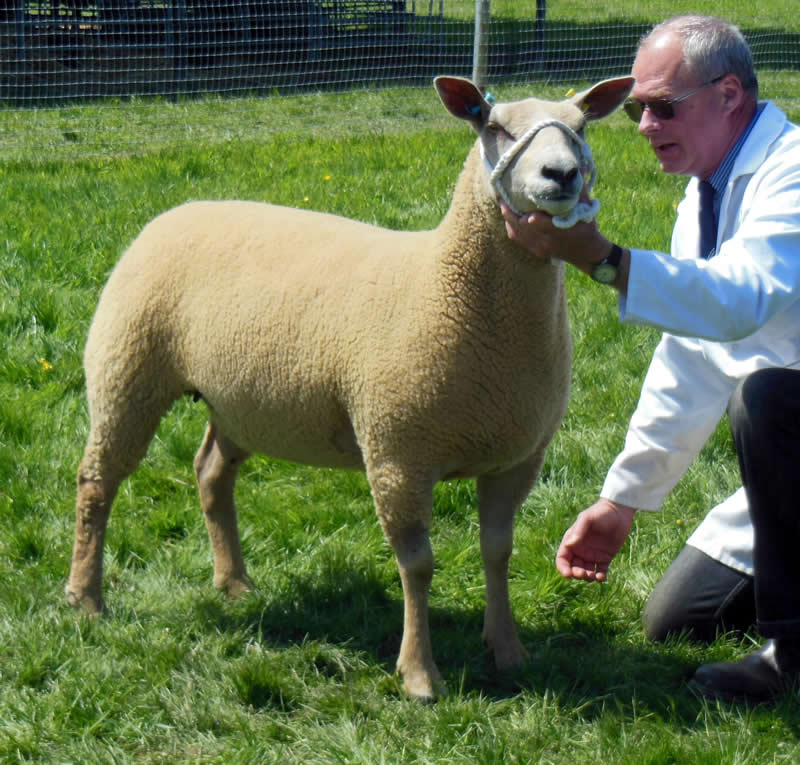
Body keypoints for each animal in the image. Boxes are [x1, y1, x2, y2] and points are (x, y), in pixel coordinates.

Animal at [67, 73, 632, 700]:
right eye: (493, 125)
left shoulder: (517, 458)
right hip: (127, 369)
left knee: (210, 472)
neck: (445, 282)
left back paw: (233, 580)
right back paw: (86, 596)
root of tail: (174, 212)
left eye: (581, 128)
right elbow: (418, 565)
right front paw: (419, 673)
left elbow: (498, 551)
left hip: (242, 400)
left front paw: (507, 649)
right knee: (97, 481)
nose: (562, 174)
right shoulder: (397, 453)